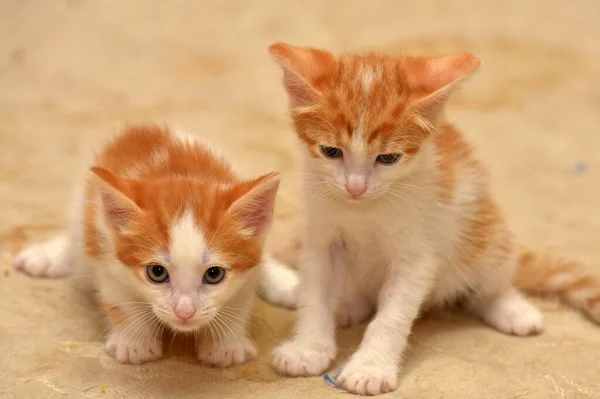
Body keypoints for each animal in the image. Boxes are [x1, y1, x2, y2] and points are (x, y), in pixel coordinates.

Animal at [15, 125, 300, 368]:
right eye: (157, 272)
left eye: (214, 274)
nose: (184, 312)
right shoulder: (108, 254)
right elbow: (121, 301)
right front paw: (134, 344)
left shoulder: (249, 264)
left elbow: (239, 300)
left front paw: (226, 345)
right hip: (82, 212)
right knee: (76, 240)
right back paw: (47, 257)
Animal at [268, 43, 600, 396]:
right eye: (331, 152)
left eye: (388, 158)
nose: (355, 187)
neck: (363, 209)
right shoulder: (322, 239)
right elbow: (314, 296)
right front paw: (308, 349)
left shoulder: (417, 256)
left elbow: (392, 316)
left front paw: (370, 368)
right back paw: (348, 306)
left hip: (485, 234)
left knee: (489, 283)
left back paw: (512, 309)